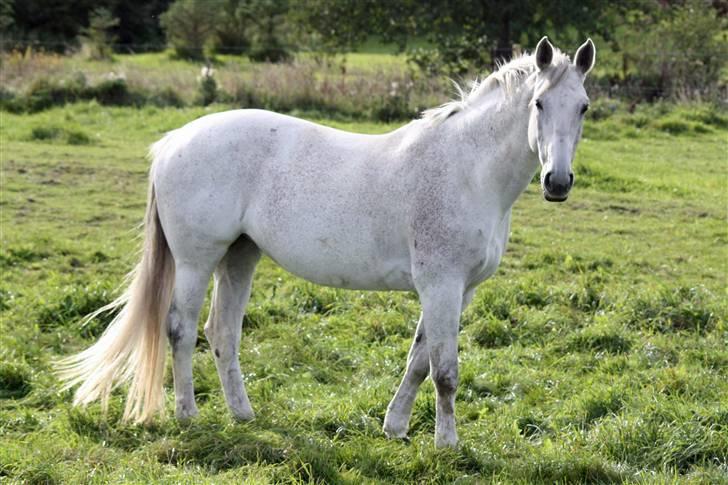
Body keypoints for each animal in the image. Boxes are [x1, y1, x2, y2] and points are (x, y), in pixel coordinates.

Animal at [58, 37, 596, 446]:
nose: (557, 182)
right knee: (181, 329)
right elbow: (444, 370)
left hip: (240, 256)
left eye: (584, 108)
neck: (465, 169)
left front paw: (395, 427)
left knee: (222, 333)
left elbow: (419, 360)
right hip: (196, 260)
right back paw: (188, 415)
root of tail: (173, 141)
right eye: (538, 103)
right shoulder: (441, 286)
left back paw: (243, 415)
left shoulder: (455, 291)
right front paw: (447, 445)